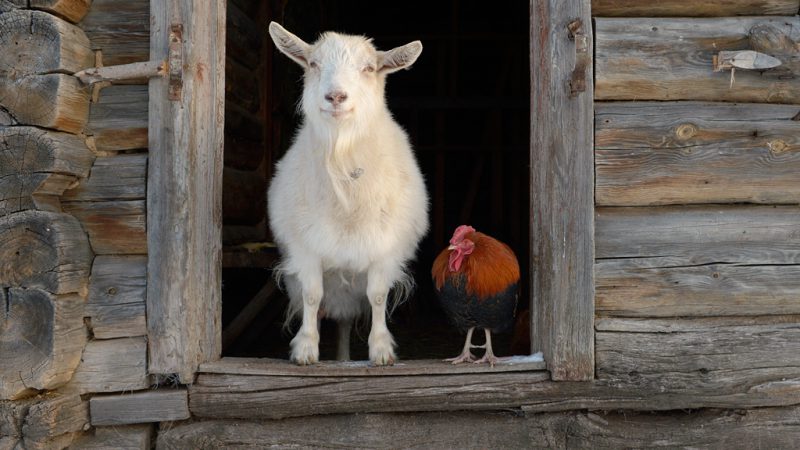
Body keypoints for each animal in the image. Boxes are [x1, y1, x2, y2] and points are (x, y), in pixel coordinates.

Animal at [268, 22, 432, 366]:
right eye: (313, 63)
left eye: (369, 68)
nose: (335, 96)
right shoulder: (306, 247)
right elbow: (311, 295)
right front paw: (305, 348)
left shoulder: (385, 249)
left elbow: (378, 295)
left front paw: (381, 350)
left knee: (344, 323)